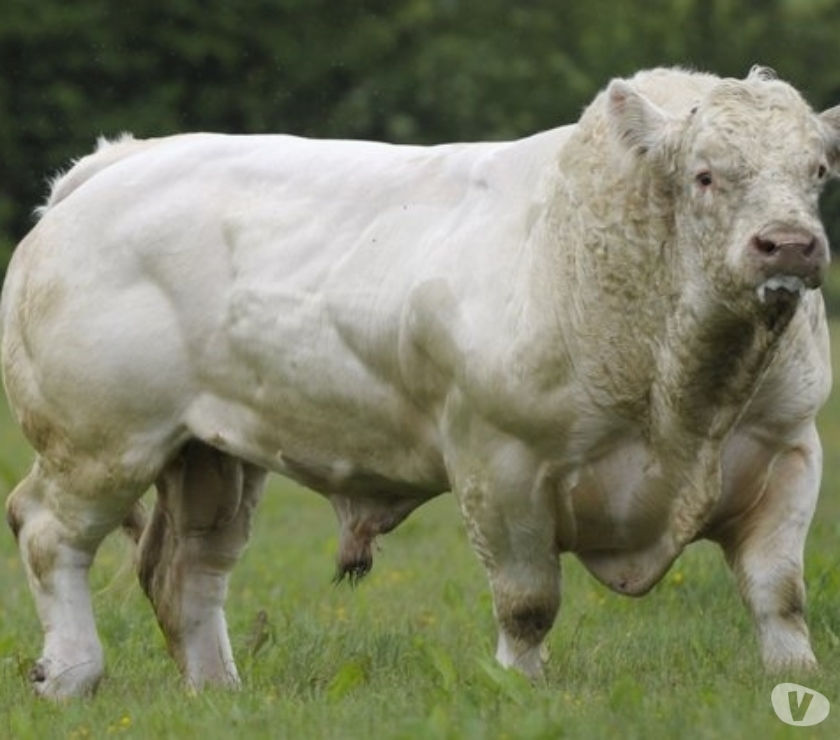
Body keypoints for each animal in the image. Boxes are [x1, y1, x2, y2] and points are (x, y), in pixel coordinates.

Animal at [4, 65, 840, 700]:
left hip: (209, 453)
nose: (789, 245)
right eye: (705, 175)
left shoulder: (788, 450)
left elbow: (779, 590)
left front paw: (796, 682)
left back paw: (217, 691)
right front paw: (521, 689)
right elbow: (528, 602)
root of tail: (121, 161)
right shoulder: (501, 463)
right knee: (48, 532)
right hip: (101, 442)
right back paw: (72, 675)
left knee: (191, 571)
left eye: (817, 173)